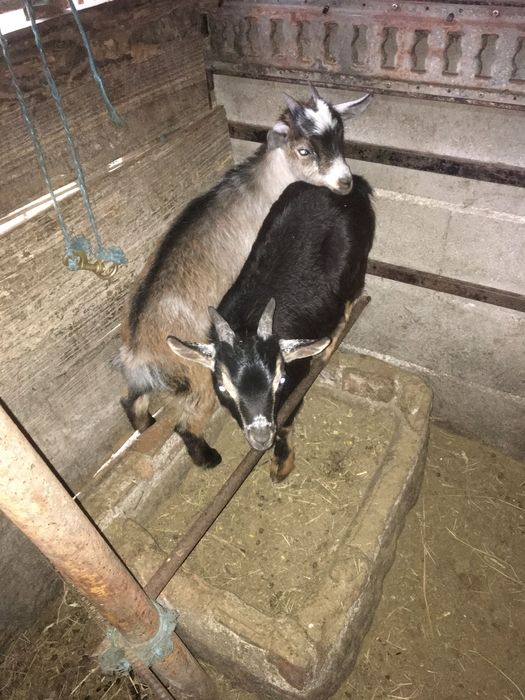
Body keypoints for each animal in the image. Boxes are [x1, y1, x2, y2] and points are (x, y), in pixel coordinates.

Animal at [167, 177, 375, 480]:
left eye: (282, 380)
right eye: (222, 387)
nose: (261, 437)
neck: (246, 324)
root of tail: (355, 185)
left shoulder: (296, 377)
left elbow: (286, 420)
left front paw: (282, 463)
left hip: (356, 264)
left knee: (351, 298)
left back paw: (329, 345)